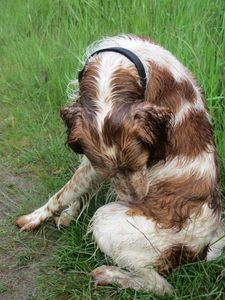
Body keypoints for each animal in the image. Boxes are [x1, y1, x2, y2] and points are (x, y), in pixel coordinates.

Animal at [16, 35, 224, 296]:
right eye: (111, 173)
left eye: (141, 163)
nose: (135, 202)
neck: (120, 68)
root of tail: (204, 246)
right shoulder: (92, 158)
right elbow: (80, 190)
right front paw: (70, 213)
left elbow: (63, 193)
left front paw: (35, 217)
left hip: (106, 220)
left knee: (162, 286)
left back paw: (110, 275)